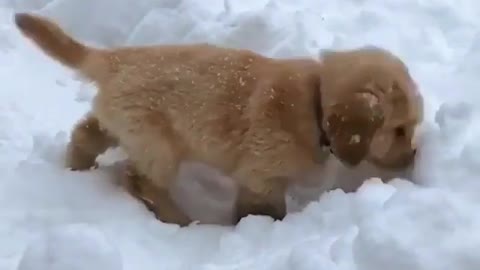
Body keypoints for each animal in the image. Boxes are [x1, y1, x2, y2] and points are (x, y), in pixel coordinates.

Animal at [13, 12, 422, 225]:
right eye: (399, 130)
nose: (414, 156)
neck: (314, 100)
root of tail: (112, 59)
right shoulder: (261, 175)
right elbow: (264, 210)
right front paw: (261, 229)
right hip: (157, 142)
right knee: (140, 180)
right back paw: (180, 219)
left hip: (119, 122)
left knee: (85, 134)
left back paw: (76, 169)